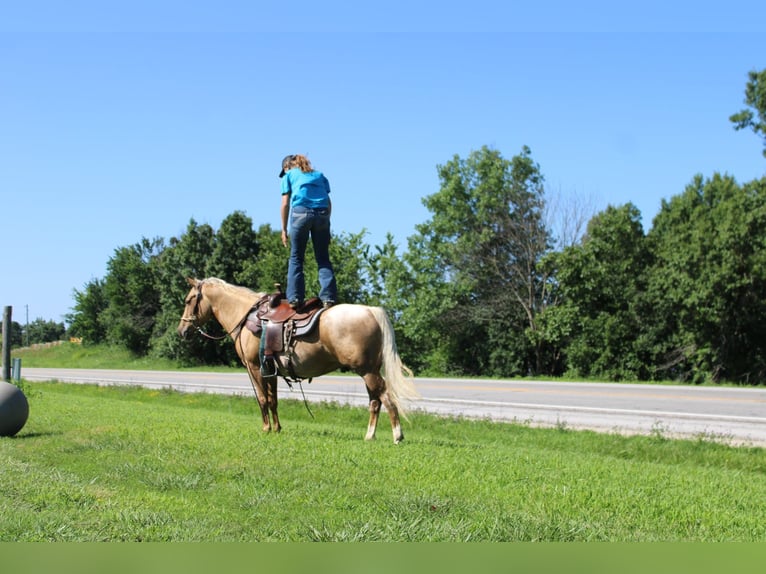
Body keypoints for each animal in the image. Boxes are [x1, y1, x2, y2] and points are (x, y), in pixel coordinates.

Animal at [177, 277, 419, 443]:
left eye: (188, 300)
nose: (182, 331)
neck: (246, 316)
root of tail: (371, 311)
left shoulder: (254, 368)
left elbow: (262, 399)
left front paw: (266, 429)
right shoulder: (270, 370)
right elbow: (273, 400)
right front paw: (277, 428)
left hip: (367, 371)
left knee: (386, 397)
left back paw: (397, 435)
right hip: (370, 371)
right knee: (375, 402)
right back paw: (369, 435)